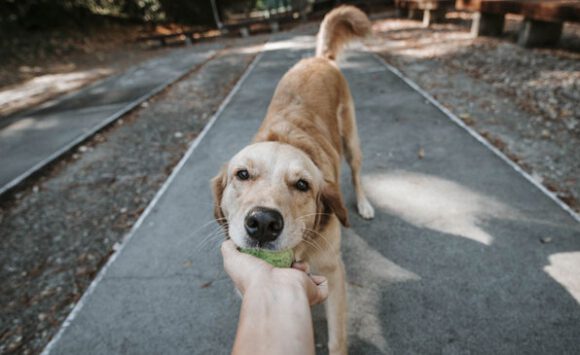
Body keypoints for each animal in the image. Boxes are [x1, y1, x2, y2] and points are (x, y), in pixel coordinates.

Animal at [212, 6, 372, 355]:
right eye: (242, 174)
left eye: (302, 185)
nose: (262, 223)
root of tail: (320, 58)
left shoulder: (334, 275)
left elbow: (337, 339)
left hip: (352, 140)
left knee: (356, 172)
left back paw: (365, 203)